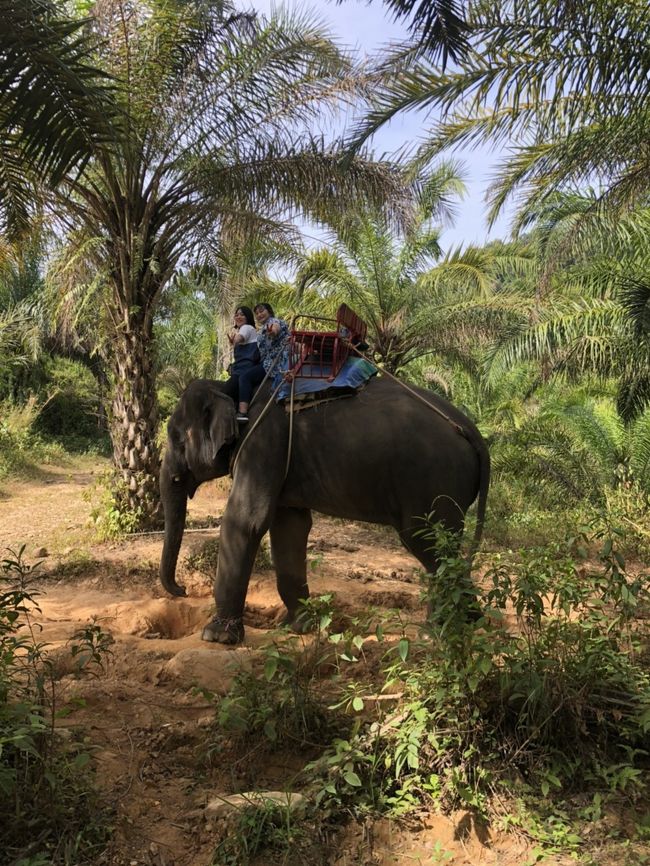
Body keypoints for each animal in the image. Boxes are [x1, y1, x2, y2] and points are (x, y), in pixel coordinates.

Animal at [159, 374, 488, 644]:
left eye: (176, 438)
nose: (182, 590)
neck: (230, 387)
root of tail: (473, 432)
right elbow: (289, 526)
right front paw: (298, 627)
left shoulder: (263, 444)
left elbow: (246, 520)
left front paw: (216, 637)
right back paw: (469, 621)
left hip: (434, 483)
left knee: (431, 545)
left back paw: (438, 631)